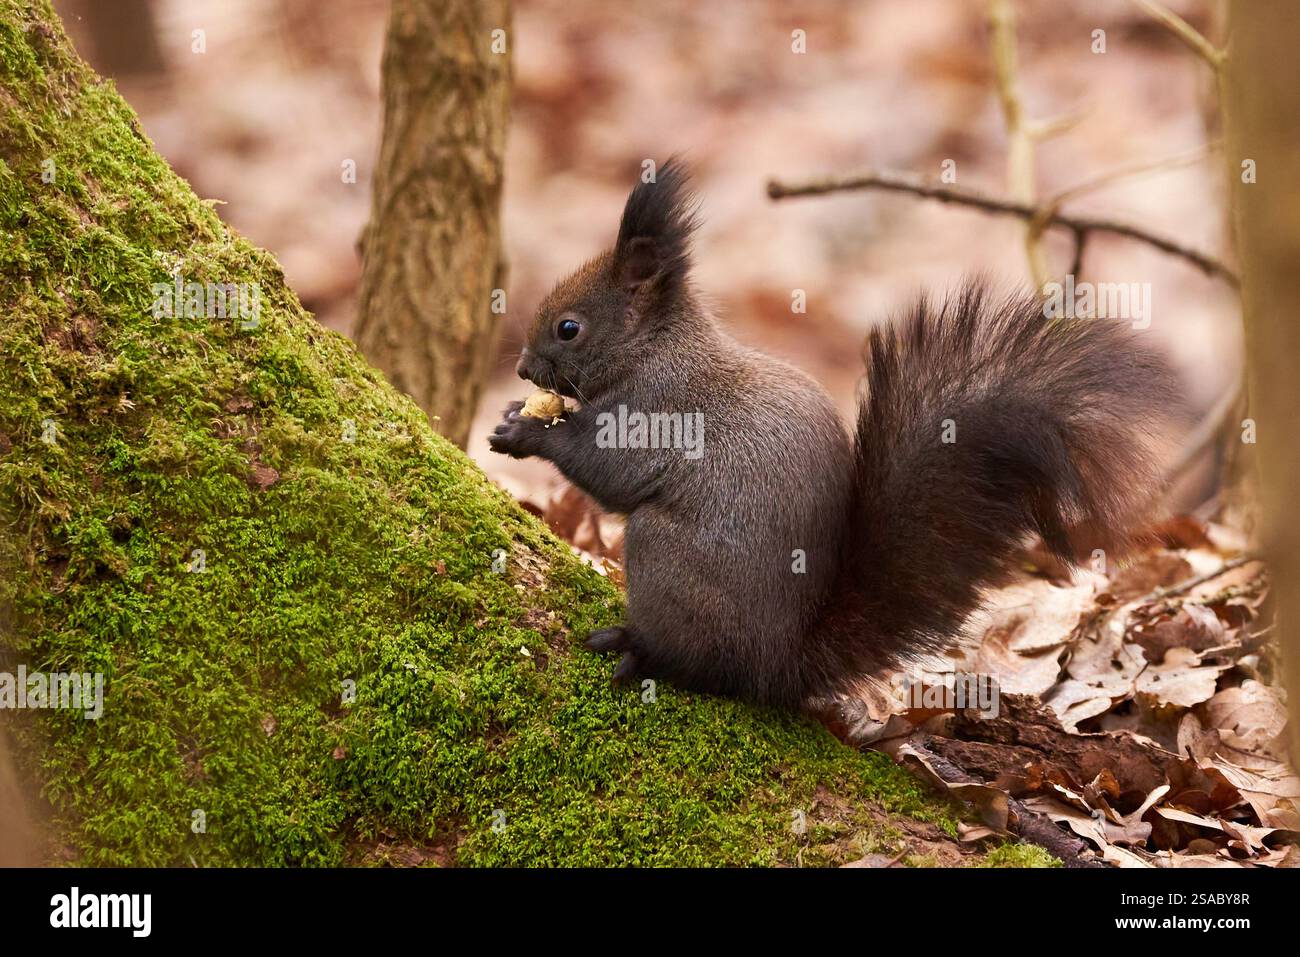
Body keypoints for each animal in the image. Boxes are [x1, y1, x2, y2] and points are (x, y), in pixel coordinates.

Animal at [489, 159, 1176, 709]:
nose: (521, 368)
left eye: (569, 327)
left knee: (701, 664)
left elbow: (609, 472)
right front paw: (515, 413)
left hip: (667, 560)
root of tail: (777, 665)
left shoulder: (655, 409)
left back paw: (643, 650)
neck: (650, 349)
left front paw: (527, 434)